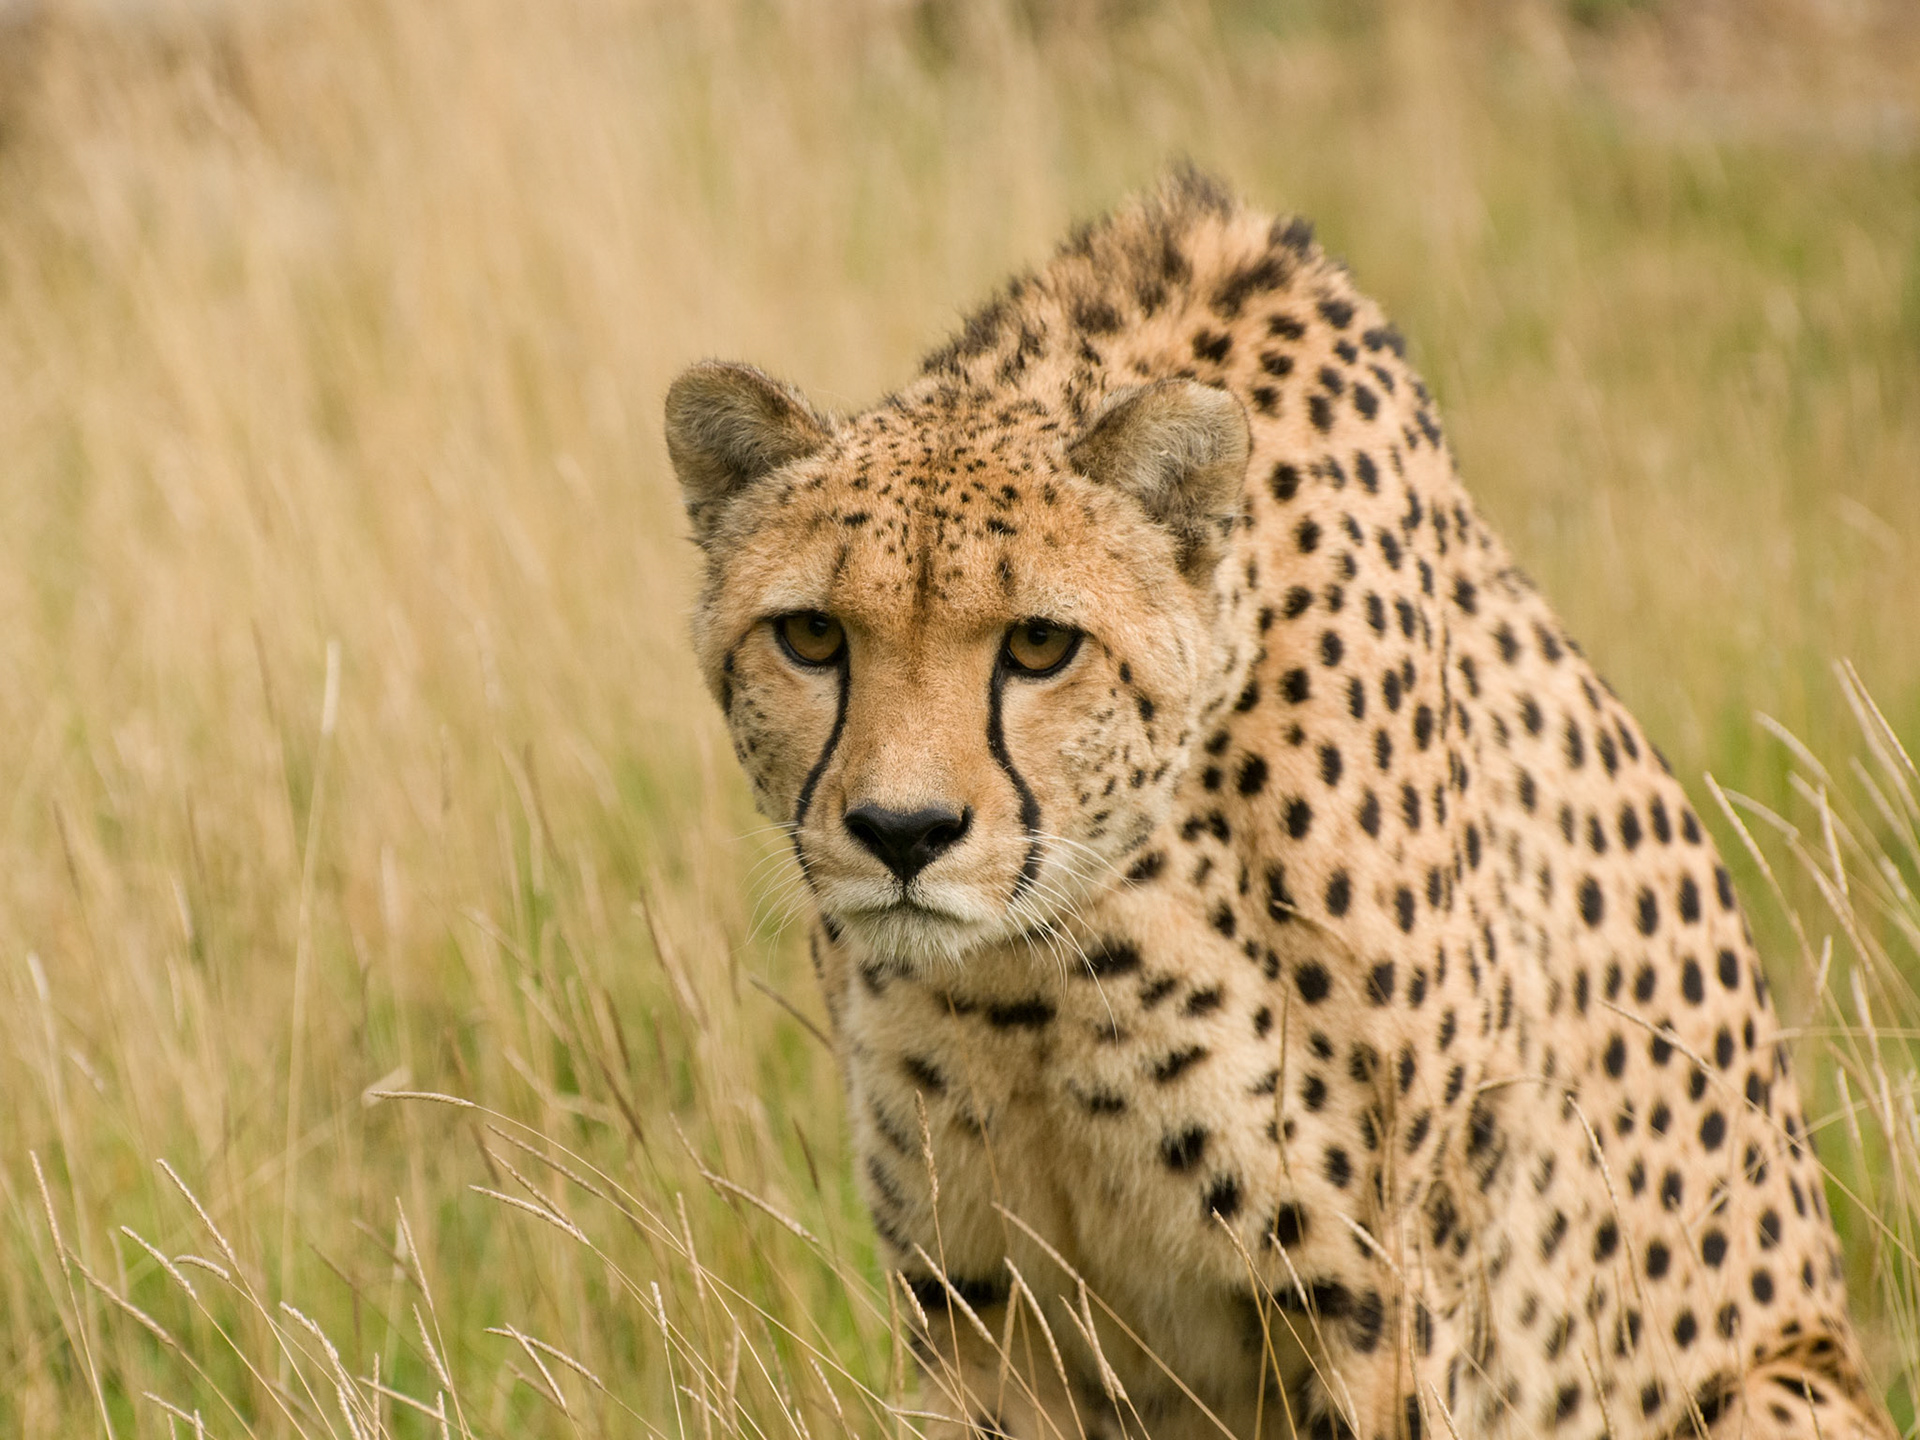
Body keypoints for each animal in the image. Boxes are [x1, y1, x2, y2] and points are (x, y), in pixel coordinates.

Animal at [662, 169, 1893, 1440]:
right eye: (812, 635)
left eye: (1042, 645)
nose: (903, 835)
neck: (1045, 970)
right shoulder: (980, 1304)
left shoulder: (1373, 1302)